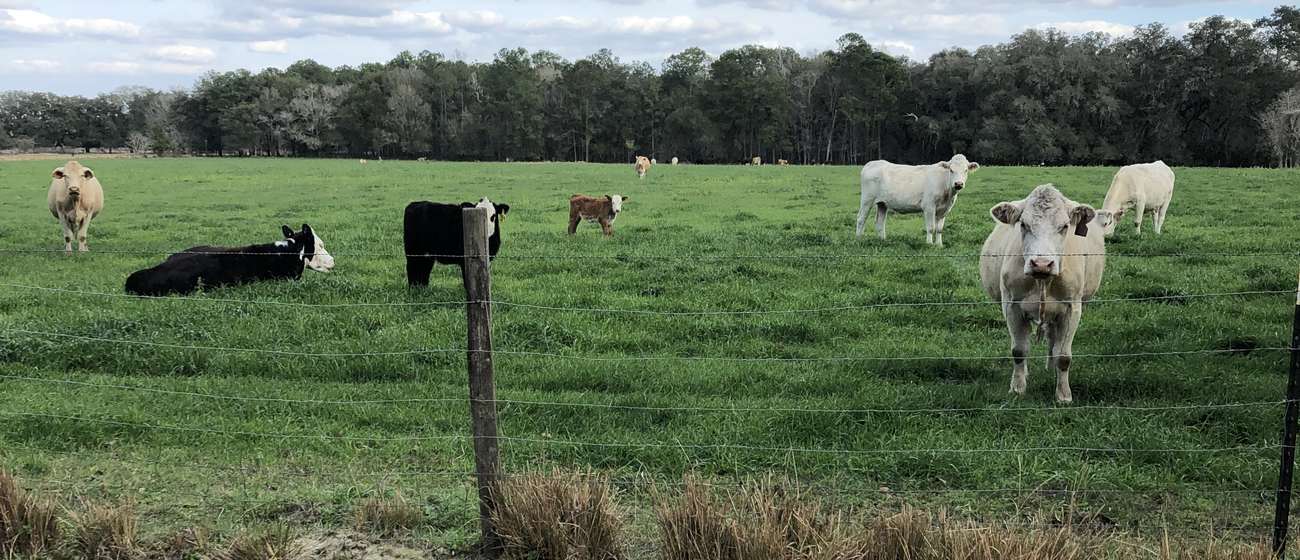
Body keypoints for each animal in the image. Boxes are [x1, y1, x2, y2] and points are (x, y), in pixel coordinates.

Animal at [979, 184, 1105, 403]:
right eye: (1023, 224)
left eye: (1064, 226)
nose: (1041, 264)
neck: (1042, 280)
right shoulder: (1011, 306)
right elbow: (1019, 351)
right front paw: (1017, 388)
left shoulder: (1072, 309)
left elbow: (1063, 356)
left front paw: (1063, 395)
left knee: (1053, 341)